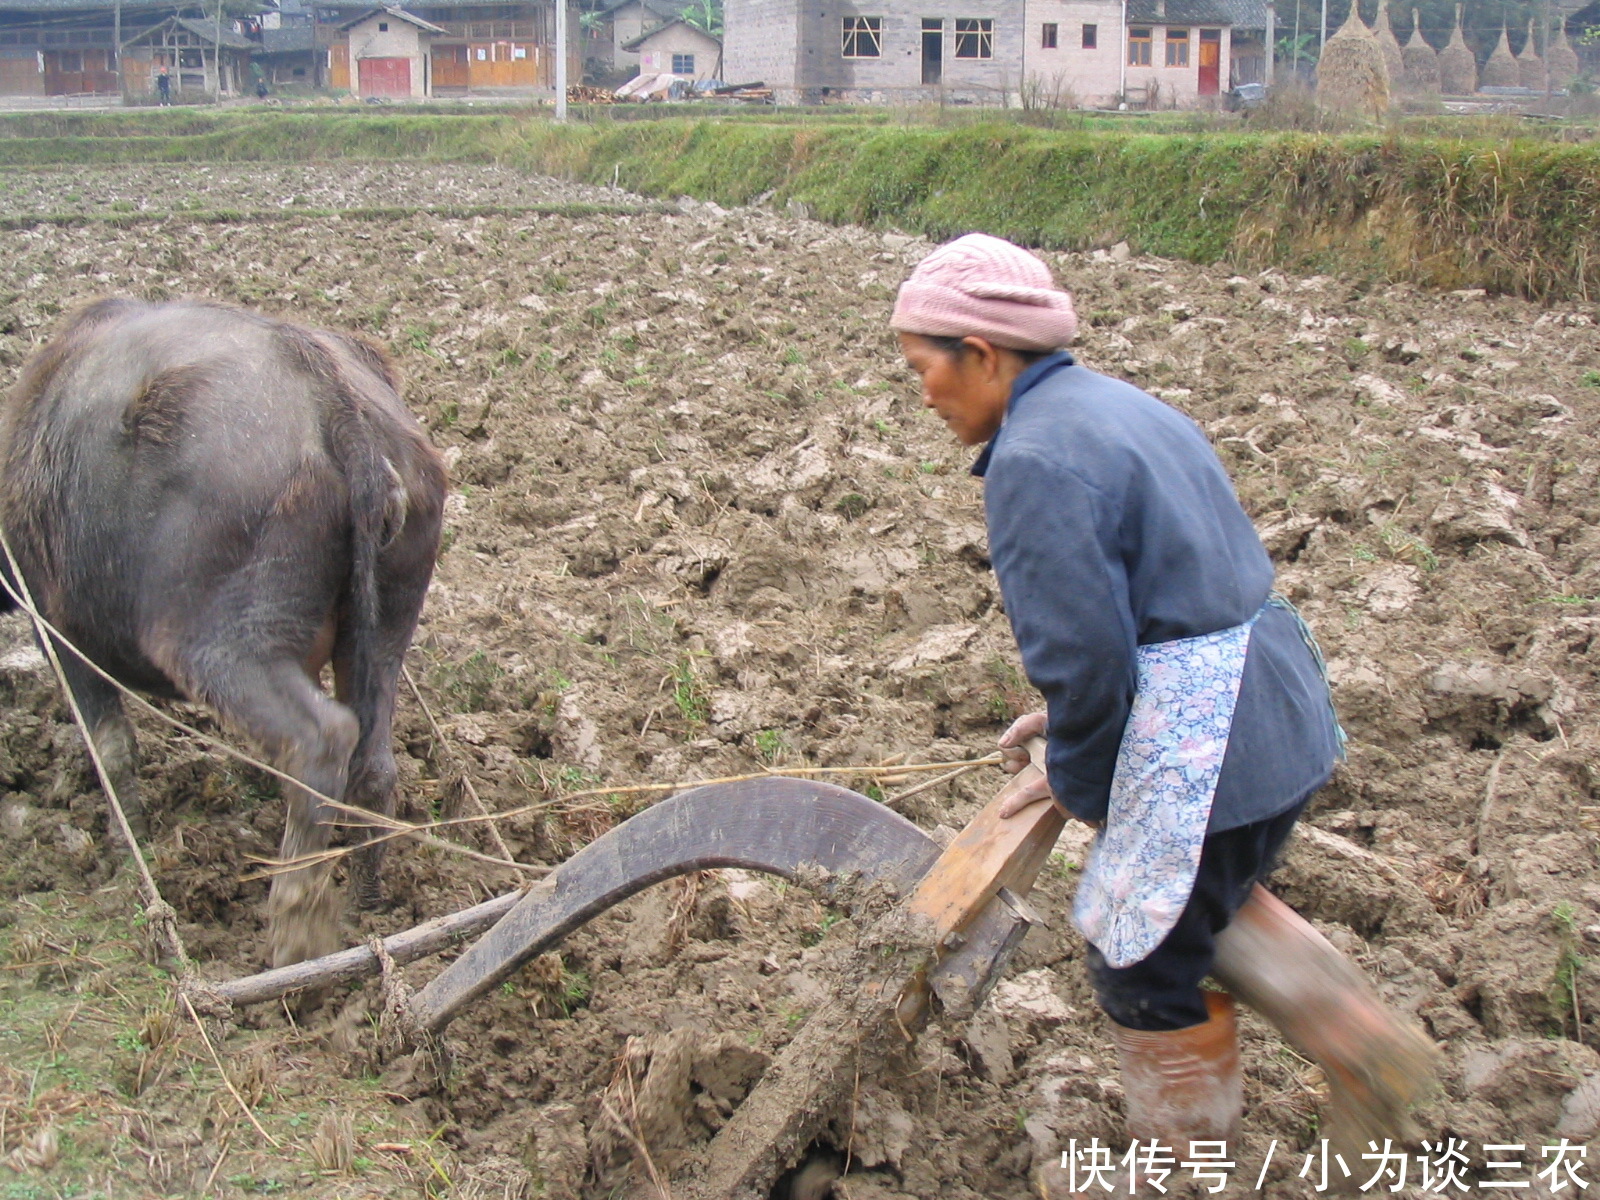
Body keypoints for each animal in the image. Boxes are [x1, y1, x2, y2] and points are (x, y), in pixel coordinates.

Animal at [0, 299, 444, 966]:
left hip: (220, 644)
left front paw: (128, 849)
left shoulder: (58, 630)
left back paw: (293, 928)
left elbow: (111, 748)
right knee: (371, 763)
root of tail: (331, 399)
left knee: (321, 741)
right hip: (384, 630)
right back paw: (366, 905)